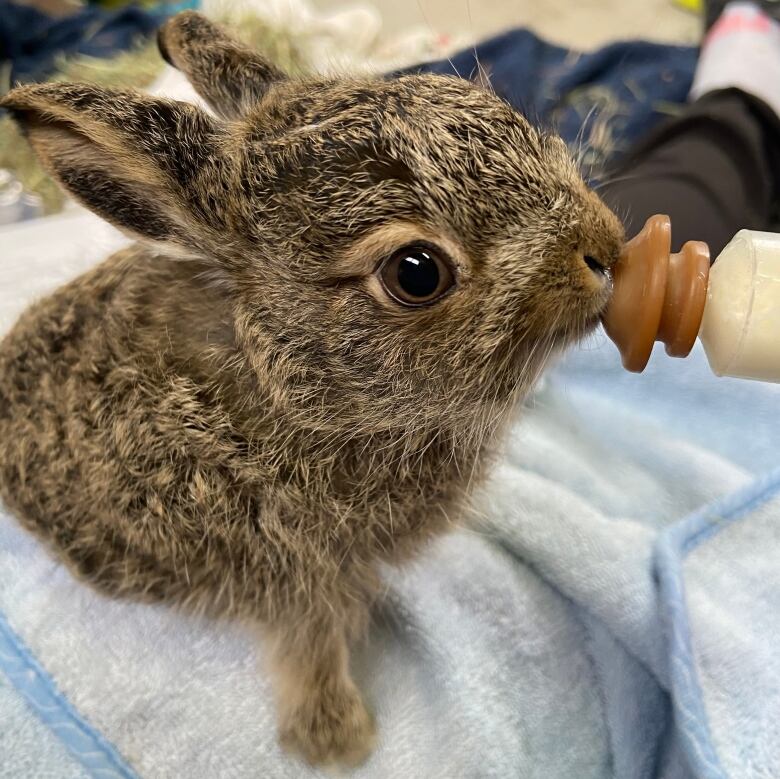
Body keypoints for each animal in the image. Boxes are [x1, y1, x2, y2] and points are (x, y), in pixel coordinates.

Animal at [0, 10, 620, 768]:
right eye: (416, 272)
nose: (605, 247)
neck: (290, 384)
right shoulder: (293, 575)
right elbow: (312, 648)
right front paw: (336, 742)